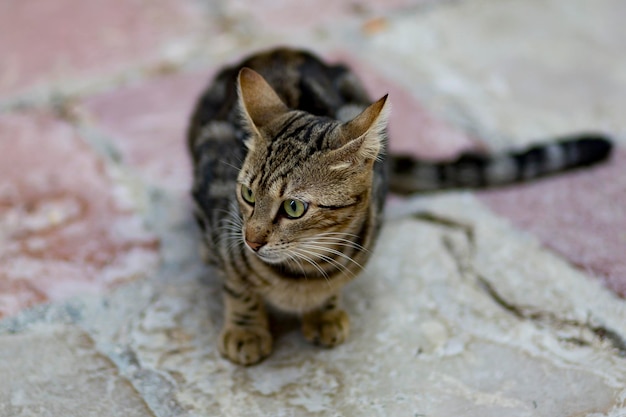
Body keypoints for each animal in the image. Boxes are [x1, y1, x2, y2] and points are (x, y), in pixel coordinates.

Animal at [185, 46, 608, 364]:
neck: (301, 273)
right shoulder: (217, 216)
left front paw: (324, 311)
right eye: (248, 195)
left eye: (293, 208)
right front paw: (246, 329)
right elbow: (237, 286)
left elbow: (333, 286)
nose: (252, 240)